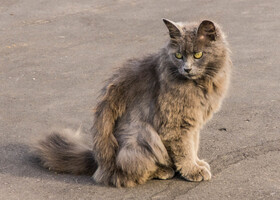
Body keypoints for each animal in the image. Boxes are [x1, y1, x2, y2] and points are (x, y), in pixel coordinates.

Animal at [31, 18, 231, 188]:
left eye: (198, 54)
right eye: (178, 55)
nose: (187, 69)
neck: (202, 84)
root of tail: (99, 163)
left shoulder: (194, 122)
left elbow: (193, 144)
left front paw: (198, 163)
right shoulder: (177, 124)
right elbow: (185, 149)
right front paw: (193, 170)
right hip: (141, 135)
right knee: (131, 173)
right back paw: (163, 170)